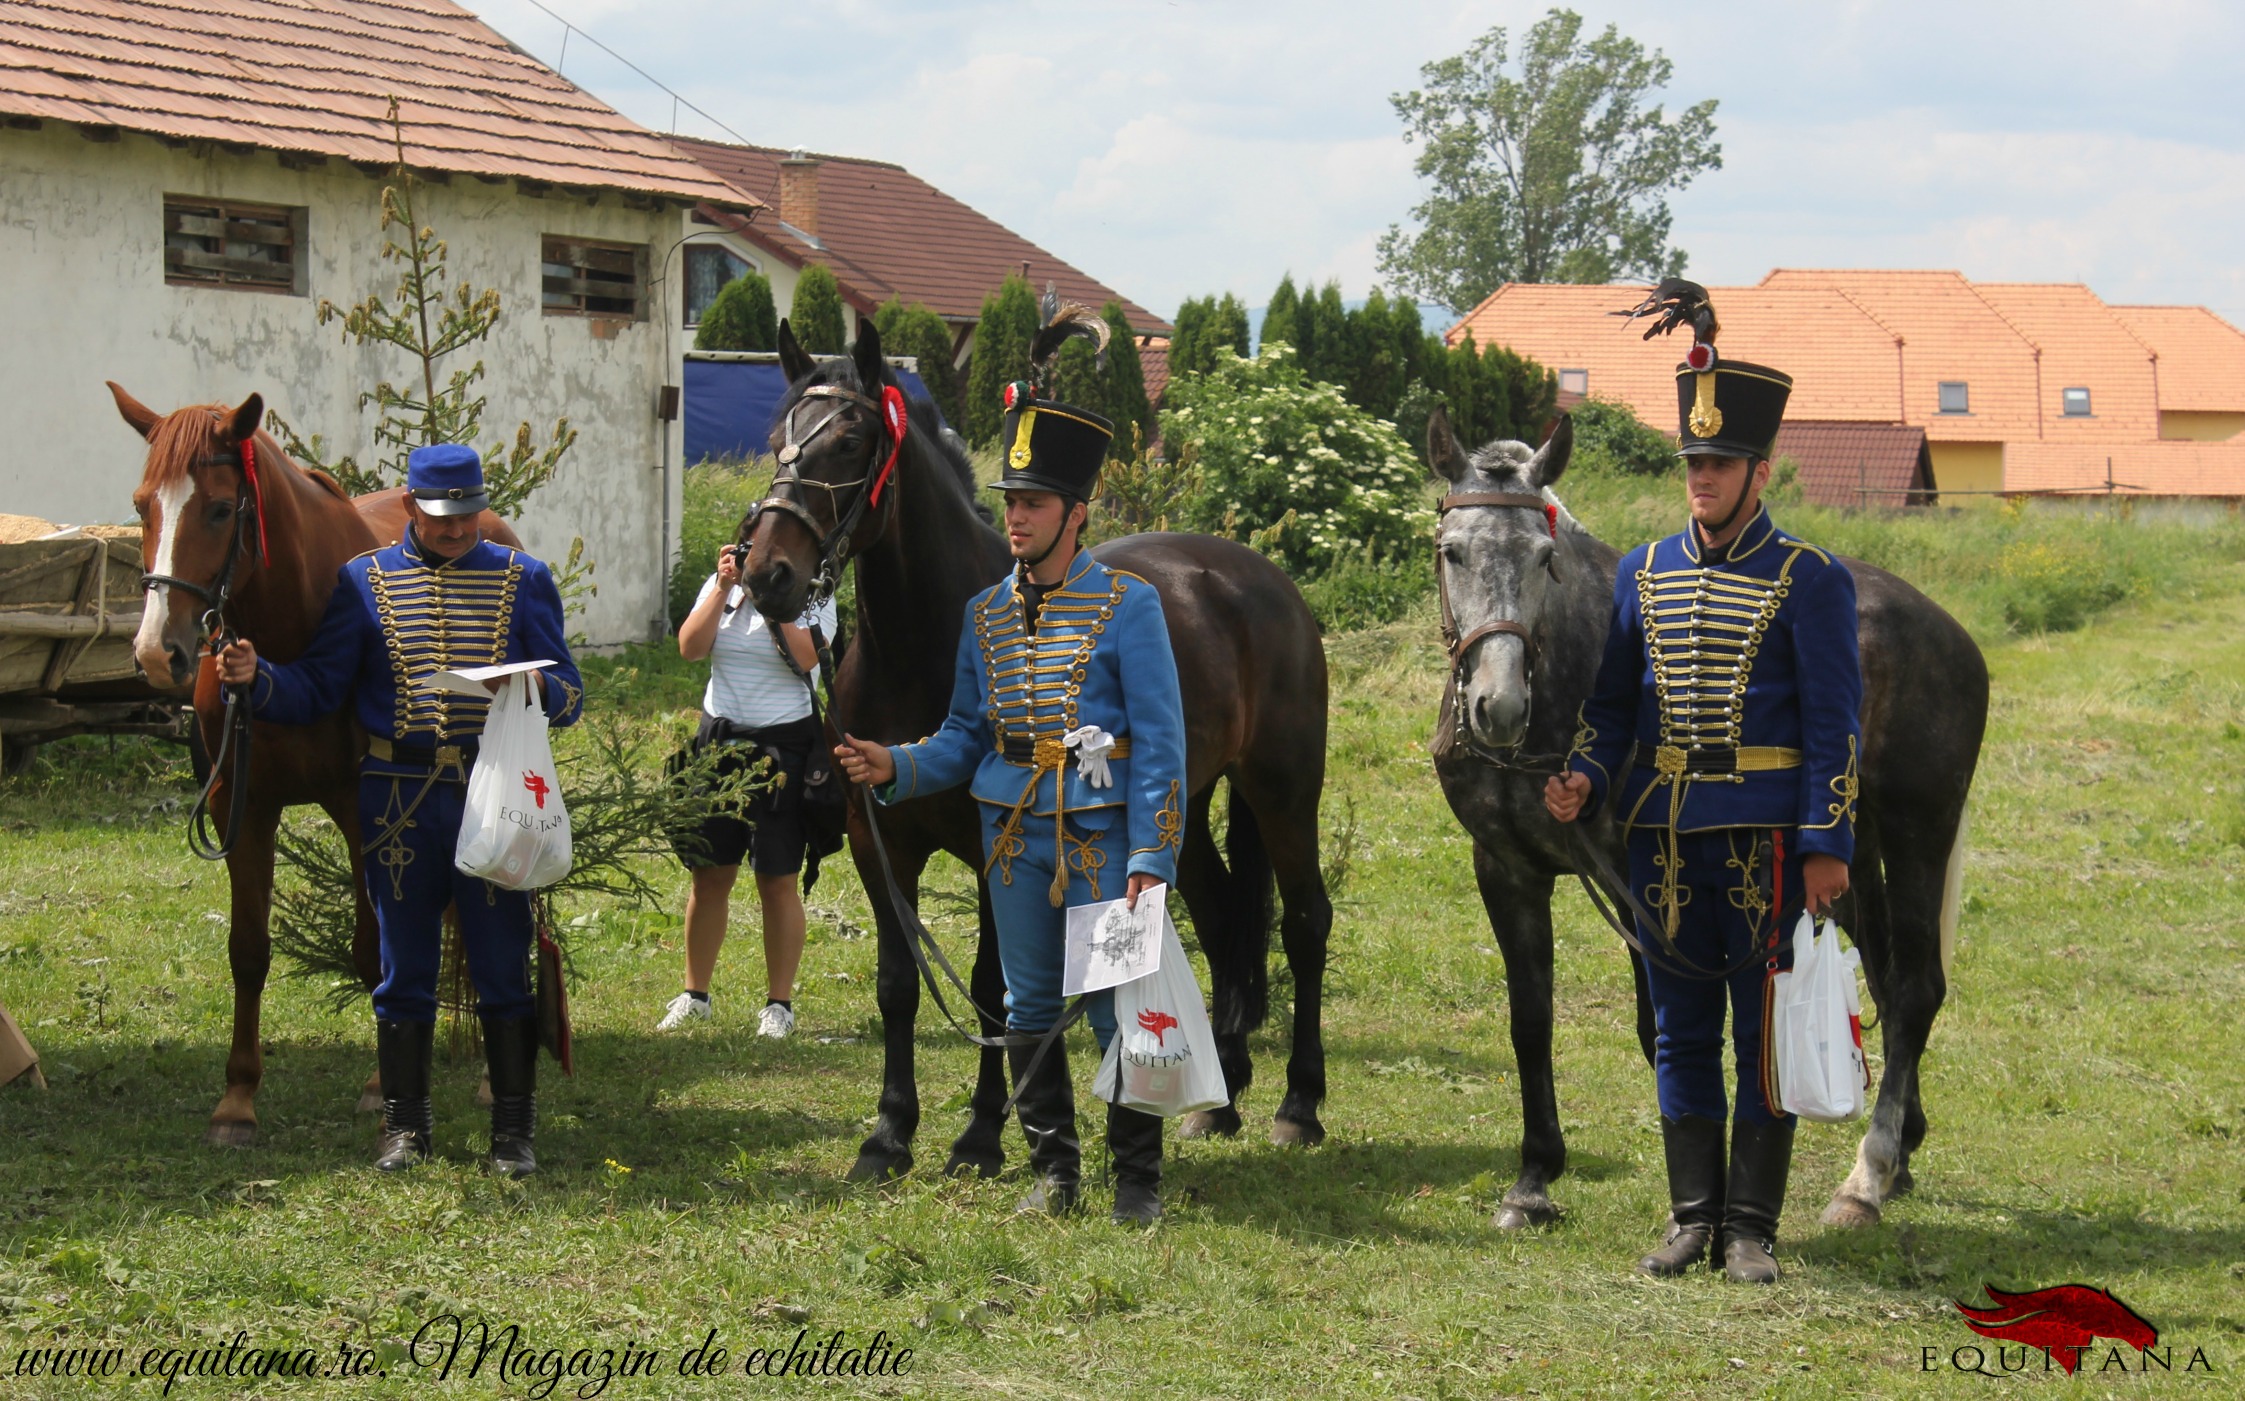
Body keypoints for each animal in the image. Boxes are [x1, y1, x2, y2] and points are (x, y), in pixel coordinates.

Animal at [1427, 410, 1993, 1230]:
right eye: (1453, 551)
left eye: (1543, 556)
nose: (1496, 707)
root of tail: (1948, 634)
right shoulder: (1506, 870)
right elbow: (1530, 1021)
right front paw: (1532, 1179)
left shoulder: (1641, 879)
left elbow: (1659, 1025)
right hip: (1844, 859)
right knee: (1890, 983)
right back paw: (1903, 1152)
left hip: (1920, 832)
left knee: (1916, 988)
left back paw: (1867, 1176)